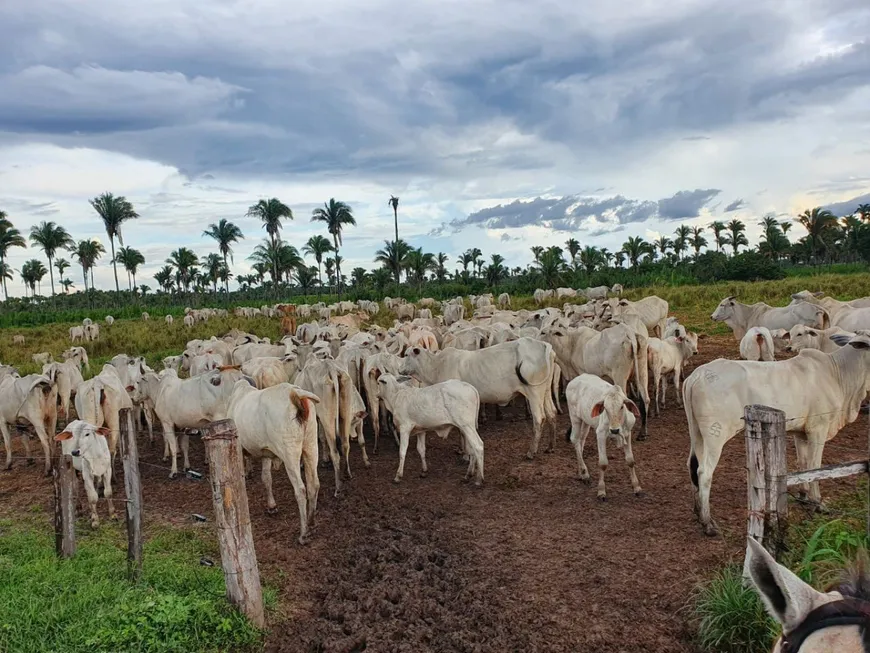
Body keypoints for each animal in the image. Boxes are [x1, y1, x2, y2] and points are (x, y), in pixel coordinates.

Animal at [227, 380, 322, 544]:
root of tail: (296, 394)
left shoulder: (238, 448)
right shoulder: (266, 453)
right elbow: (266, 478)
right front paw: (271, 506)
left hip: (290, 452)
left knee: (300, 489)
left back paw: (303, 534)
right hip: (311, 446)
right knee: (313, 484)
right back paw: (312, 522)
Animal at [568, 372, 644, 500]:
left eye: (622, 406)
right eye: (605, 408)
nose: (614, 430)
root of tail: (576, 379)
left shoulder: (627, 433)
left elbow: (630, 461)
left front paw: (637, 488)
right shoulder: (600, 434)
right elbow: (603, 464)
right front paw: (601, 491)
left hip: (585, 421)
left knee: (581, 441)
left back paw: (581, 472)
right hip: (575, 418)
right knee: (575, 440)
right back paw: (585, 473)